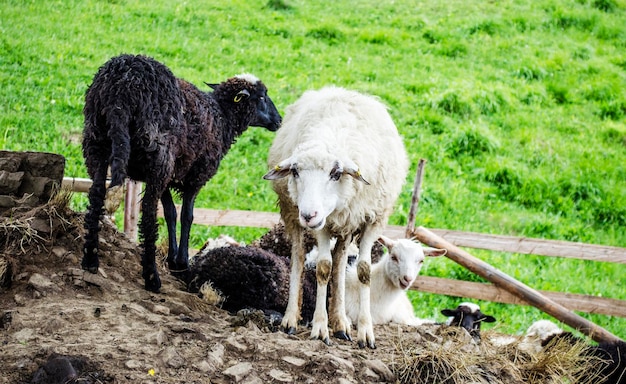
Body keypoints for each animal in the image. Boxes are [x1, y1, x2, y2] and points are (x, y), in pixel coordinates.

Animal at [80, 54, 280, 292]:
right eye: (262, 97)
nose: (279, 120)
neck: (222, 117)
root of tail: (120, 87)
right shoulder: (196, 176)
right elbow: (187, 215)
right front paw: (182, 262)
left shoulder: (170, 176)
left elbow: (170, 213)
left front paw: (172, 259)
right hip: (158, 153)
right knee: (148, 211)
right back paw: (152, 277)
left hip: (96, 142)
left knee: (96, 195)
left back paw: (90, 260)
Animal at [260, 85, 408, 350]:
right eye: (295, 171)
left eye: (336, 173)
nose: (308, 215)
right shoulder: (322, 224)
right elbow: (322, 268)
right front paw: (319, 327)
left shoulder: (372, 220)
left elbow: (363, 271)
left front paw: (365, 331)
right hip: (291, 211)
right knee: (299, 257)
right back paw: (291, 319)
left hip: (347, 224)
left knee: (340, 262)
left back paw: (340, 323)